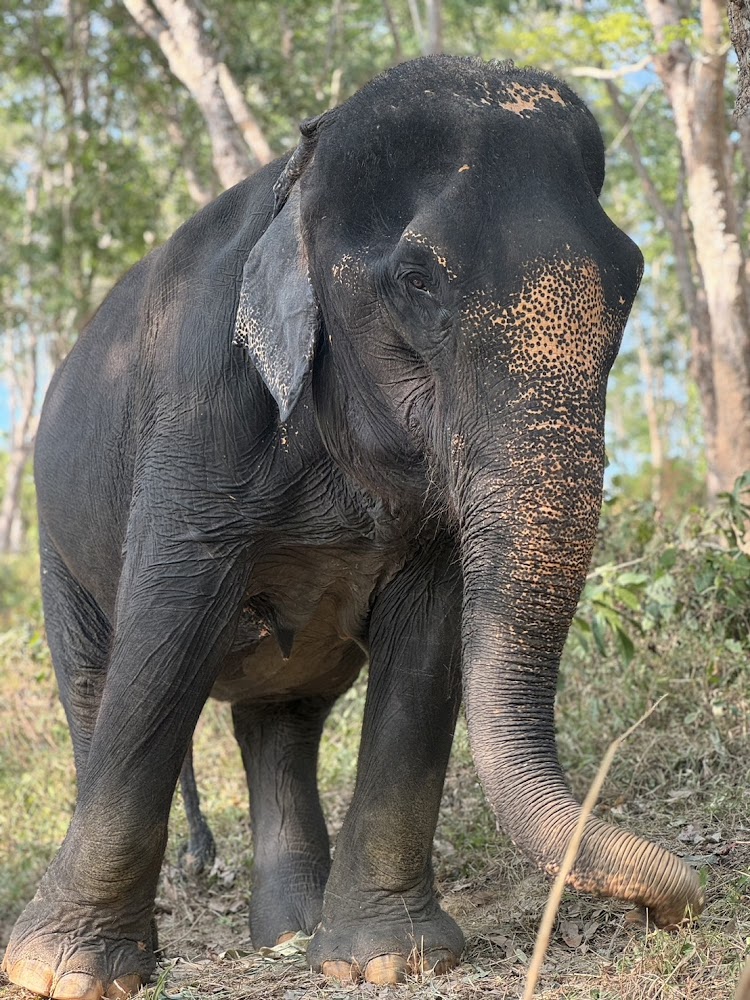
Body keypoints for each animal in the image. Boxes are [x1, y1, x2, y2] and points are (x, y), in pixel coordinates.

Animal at [2, 54, 703, 995]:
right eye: (417, 279)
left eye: (630, 279)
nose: (665, 911)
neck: (300, 177)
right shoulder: (199, 404)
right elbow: (167, 629)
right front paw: (61, 972)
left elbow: (429, 643)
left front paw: (386, 959)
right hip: (57, 543)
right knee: (93, 681)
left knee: (280, 723)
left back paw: (292, 933)